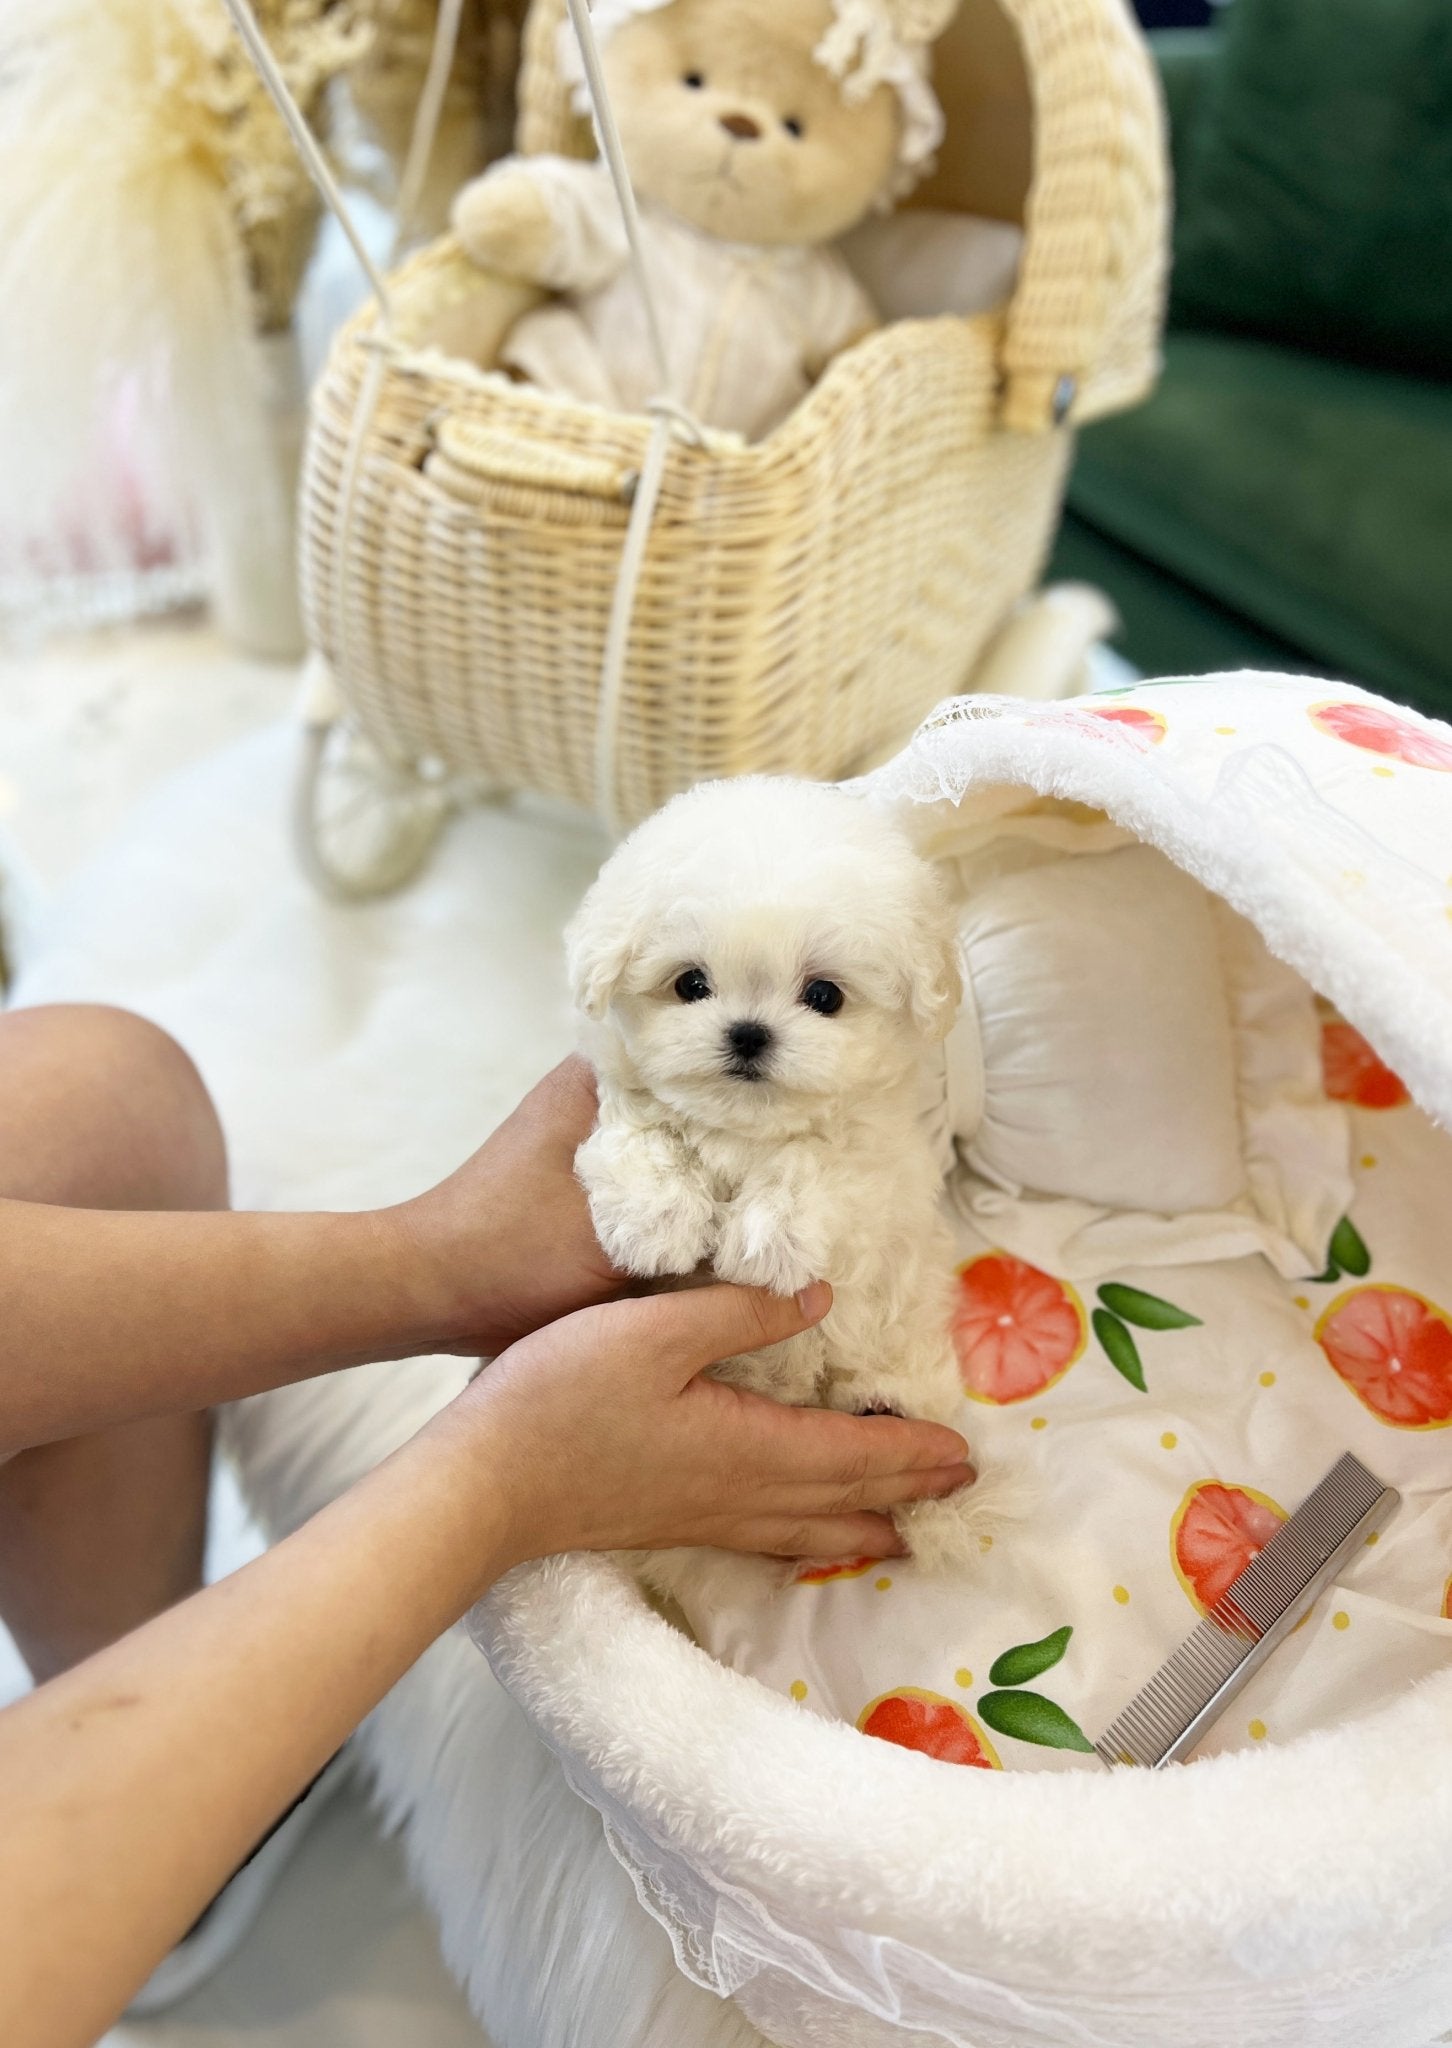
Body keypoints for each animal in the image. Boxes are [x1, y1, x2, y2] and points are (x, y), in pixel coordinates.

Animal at [565, 770, 987, 1597]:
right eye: (691, 984)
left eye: (824, 996)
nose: (749, 1034)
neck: (744, 1132)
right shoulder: (624, 1104)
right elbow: (644, 1136)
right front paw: (656, 1223)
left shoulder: (879, 1164)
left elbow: (818, 1166)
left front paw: (769, 1243)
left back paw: (884, 1407)